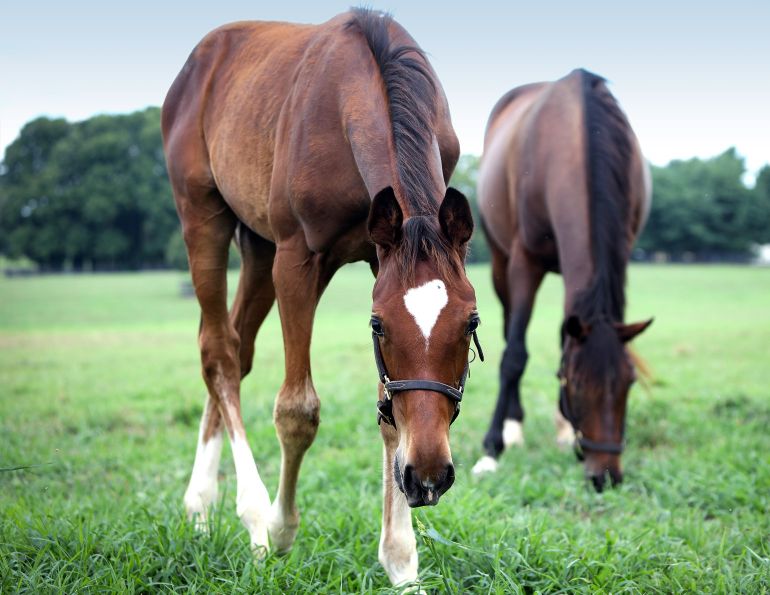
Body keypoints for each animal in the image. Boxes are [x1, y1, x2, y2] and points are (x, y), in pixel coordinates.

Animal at [161, 9, 480, 585]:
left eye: (471, 323)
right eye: (378, 325)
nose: (427, 475)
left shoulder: (377, 254)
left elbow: (388, 411)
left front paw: (402, 564)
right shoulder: (297, 257)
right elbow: (296, 410)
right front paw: (280, 531)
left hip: (257, 244)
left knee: (235, 351)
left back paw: (199, 504)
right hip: (204, 218)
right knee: (217, 351)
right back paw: (249, 514)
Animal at [471, 69, 652, 491]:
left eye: (629, 383)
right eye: (578, 385)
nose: (605, 476)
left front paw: (567, 429)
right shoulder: (524, 262)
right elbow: (514, 355)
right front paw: (492, 448)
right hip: (501, 264)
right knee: (509, 329)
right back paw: (513, 426)